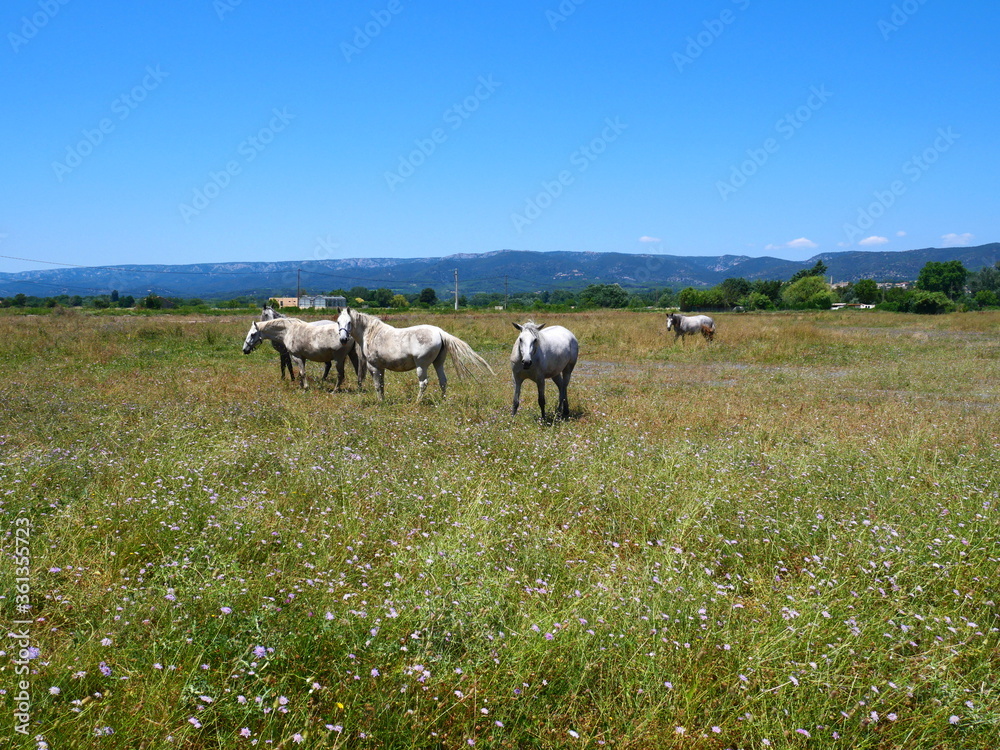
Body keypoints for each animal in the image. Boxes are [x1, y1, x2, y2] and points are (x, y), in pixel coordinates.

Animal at [335, 307, 494, 402]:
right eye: (338, 322)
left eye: (349, 322)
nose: (343, 339)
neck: (372, 334)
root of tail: (439, 332)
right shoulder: (381, 368)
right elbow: (381, 384)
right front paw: (383, 399)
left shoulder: (374, 367)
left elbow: (377, 385)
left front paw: (380, 401)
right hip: (438, 363)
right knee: (443, 381)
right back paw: (442, 400)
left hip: (421, 366)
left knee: (423, 383)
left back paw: (418, 402)